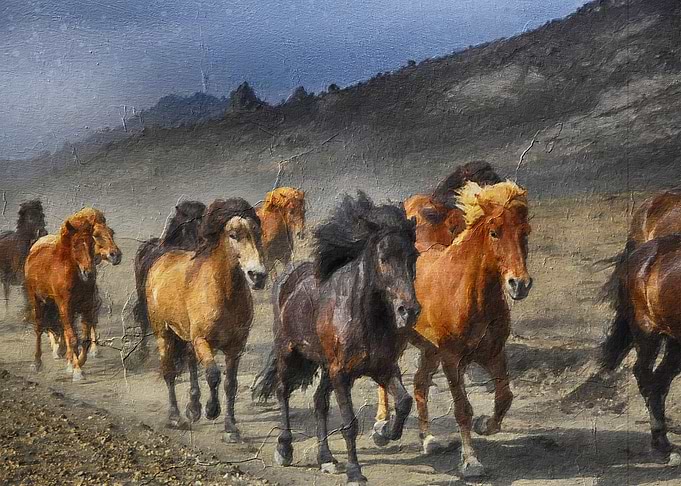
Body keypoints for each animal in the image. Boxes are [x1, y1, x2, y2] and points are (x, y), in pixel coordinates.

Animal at [24, 211, 98, 381]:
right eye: (75, 245)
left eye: (92, 243)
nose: (89, 273)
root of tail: (33, 252)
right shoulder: (65, 306)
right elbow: (72, 338)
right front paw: (77, 370)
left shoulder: (86, 306)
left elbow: (84, 338)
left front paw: (78, 362)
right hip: (37, 301)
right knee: (39, 328)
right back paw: (37, 362)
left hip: (54, 305)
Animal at [30, 208, 122, 359]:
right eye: (96, 234)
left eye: (112, 232)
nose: (116, 255)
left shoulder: (88, 302)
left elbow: (89, 323)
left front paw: (92, 351)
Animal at [142, 198, 266, 439]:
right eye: (233, 235)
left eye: (258, 233)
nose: (258, 276)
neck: (224, 293)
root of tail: (162, 260)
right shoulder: (202, 340)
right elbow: (213, 374)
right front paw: (211, 410)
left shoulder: (236, 346)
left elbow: (230, 383)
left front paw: (231, 428)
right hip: (164, 333)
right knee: (169, 372)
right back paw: (175, 417)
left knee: (190, 362)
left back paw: (193, 408)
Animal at [253, 192, 420, 485]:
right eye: (384, 257)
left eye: (414, 255)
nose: (408, 311)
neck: (365, 318)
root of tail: (287, 279)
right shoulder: (341, 373)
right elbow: (350, 424)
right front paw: (355, 471)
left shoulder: (382, 367)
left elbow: (404, 402)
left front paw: (385, 433)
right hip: (288, 351)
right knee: (283, 391)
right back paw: (284, 449)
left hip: (325, 366)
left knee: (319, 402)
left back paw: (326, 458)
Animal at [376, 180, 532, 478]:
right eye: (494, 232)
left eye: (525, 232)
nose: (520, 284)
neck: (470, 293)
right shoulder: (452, 359)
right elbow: (462, 409)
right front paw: (471, 462)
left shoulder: (493, 353)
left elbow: (504, 397)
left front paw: (486, 424)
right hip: (400, 342)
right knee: (385, 375)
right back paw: (380, 427)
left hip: (429, 350)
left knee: (419, 383)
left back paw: (429, 440)